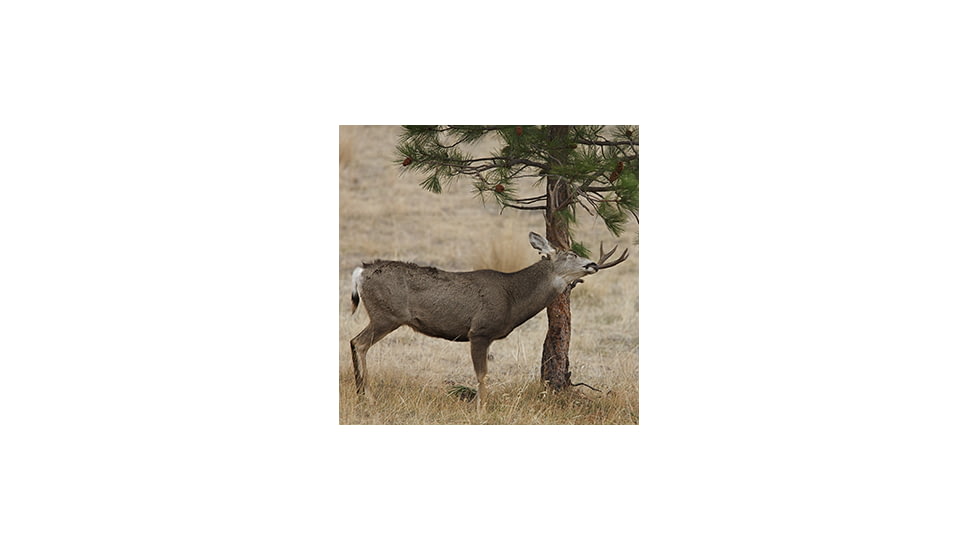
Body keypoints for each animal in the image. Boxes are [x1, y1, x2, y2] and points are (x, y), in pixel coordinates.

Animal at [348, 231, 628, 410]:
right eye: (570, 254)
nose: (593, 264)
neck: (511, 297)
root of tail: (360, 272)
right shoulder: (479, 331)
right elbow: (482, 374)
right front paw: (482, 408)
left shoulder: (488, 336)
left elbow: (484, 373)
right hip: (386, 315)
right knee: (359, 343)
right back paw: (368, 397)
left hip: (383, 316)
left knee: (353, 341)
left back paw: (360, 393)